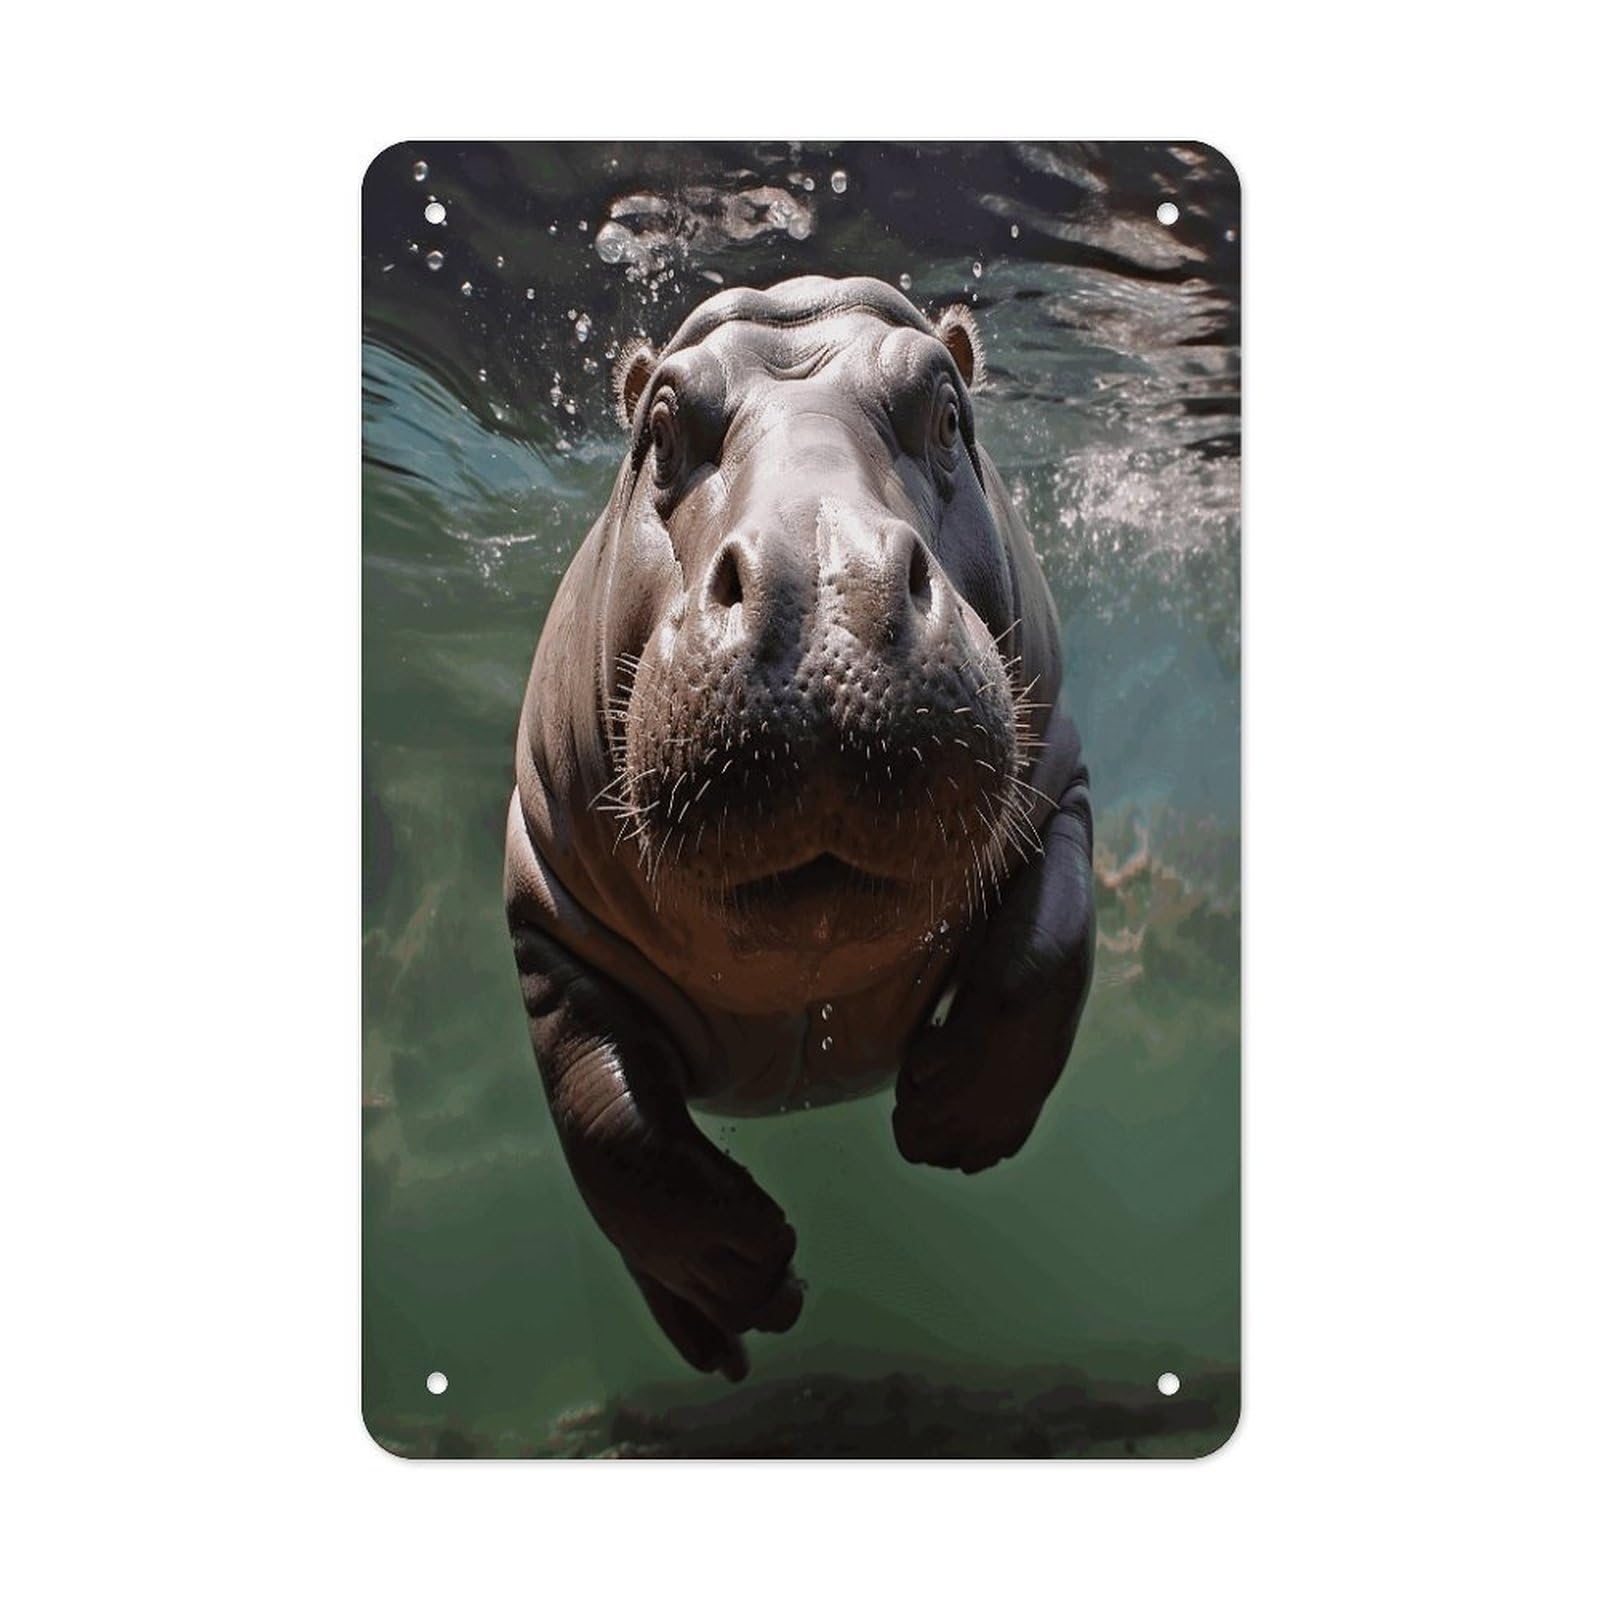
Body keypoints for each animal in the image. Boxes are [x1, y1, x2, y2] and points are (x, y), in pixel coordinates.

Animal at [505, 276, 1094, 1380]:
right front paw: (746, 1274)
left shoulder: (1060, 786)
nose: (822, 580)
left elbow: (1048, 950)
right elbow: (604, 1115)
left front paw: (950, 1124)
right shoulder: (543, 901)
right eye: (658, 430)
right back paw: (718, 1346)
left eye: (947, 412)